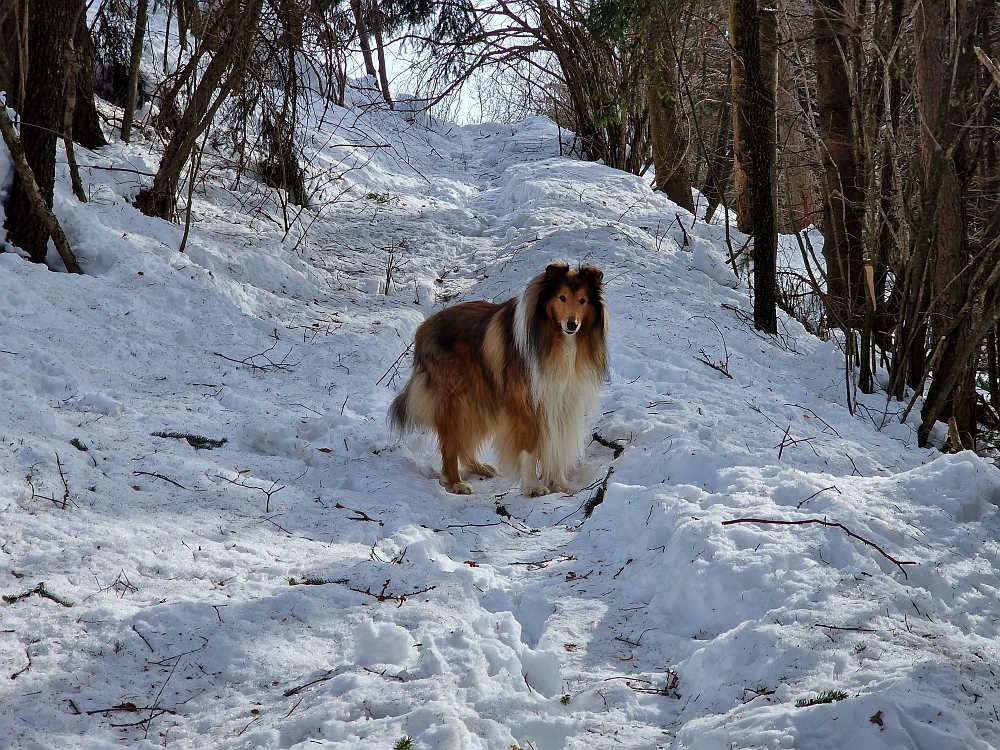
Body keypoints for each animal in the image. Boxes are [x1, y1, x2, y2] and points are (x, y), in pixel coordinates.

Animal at [390, 262, 608, 496]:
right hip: (458, 399)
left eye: (582, 300)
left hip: (481, 398)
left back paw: (478, 467)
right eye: (562, 297)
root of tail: (423, 326)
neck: (555, 341)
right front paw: (532, 487)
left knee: (464, 439)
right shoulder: (526, 405)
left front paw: (559, 484)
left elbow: (557, 445)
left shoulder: (562, 401)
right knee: (450, 443)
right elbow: (530, 448)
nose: (572, 324)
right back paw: (456, 482)